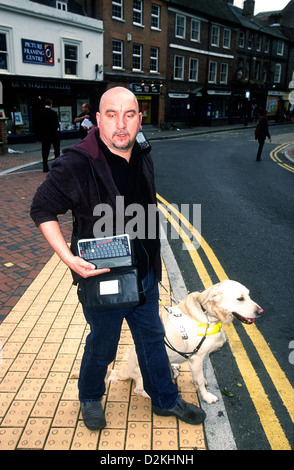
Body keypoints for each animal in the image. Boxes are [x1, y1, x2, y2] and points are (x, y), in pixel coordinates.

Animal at [108, 280, 264, 404]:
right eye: (240, 298)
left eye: (249, 295)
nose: (261, 311)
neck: (207, 314)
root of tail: (126, 370)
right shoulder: (196, 358)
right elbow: (199, 380)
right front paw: (206, 397)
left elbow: (200, 376)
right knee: (139, 389)